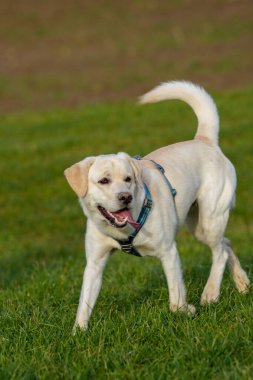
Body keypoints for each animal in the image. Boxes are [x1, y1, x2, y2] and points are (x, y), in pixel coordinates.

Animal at [64, 81, 250, 332]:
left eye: (128, 179)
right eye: (103, 180)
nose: (125, 197)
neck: (125, 229)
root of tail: (204, 140)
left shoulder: (168, 252)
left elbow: (176, 299)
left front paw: (186, 311)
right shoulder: (95, 263)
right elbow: (84, 304)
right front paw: (79, 332)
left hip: (210, 219)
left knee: (219, 251)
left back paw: (210, 294)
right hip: (198, 225)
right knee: (226, 243)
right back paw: (242, 283)